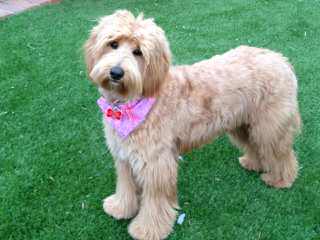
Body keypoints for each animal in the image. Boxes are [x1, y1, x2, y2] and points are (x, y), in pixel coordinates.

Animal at [84, 9, 302, 240]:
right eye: (113, 44)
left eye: (138, 52)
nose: (116, 72)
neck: (131, 104)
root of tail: (280, 59)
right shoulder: (124, 156)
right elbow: (125, 186)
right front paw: (120, 208)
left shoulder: (156, 164)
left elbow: (155, 201)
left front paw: (148, 229)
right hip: (243, 124)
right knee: (256, 146)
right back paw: (253, 163)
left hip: (269, 127)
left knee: (282, 155)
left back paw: (280, 179)